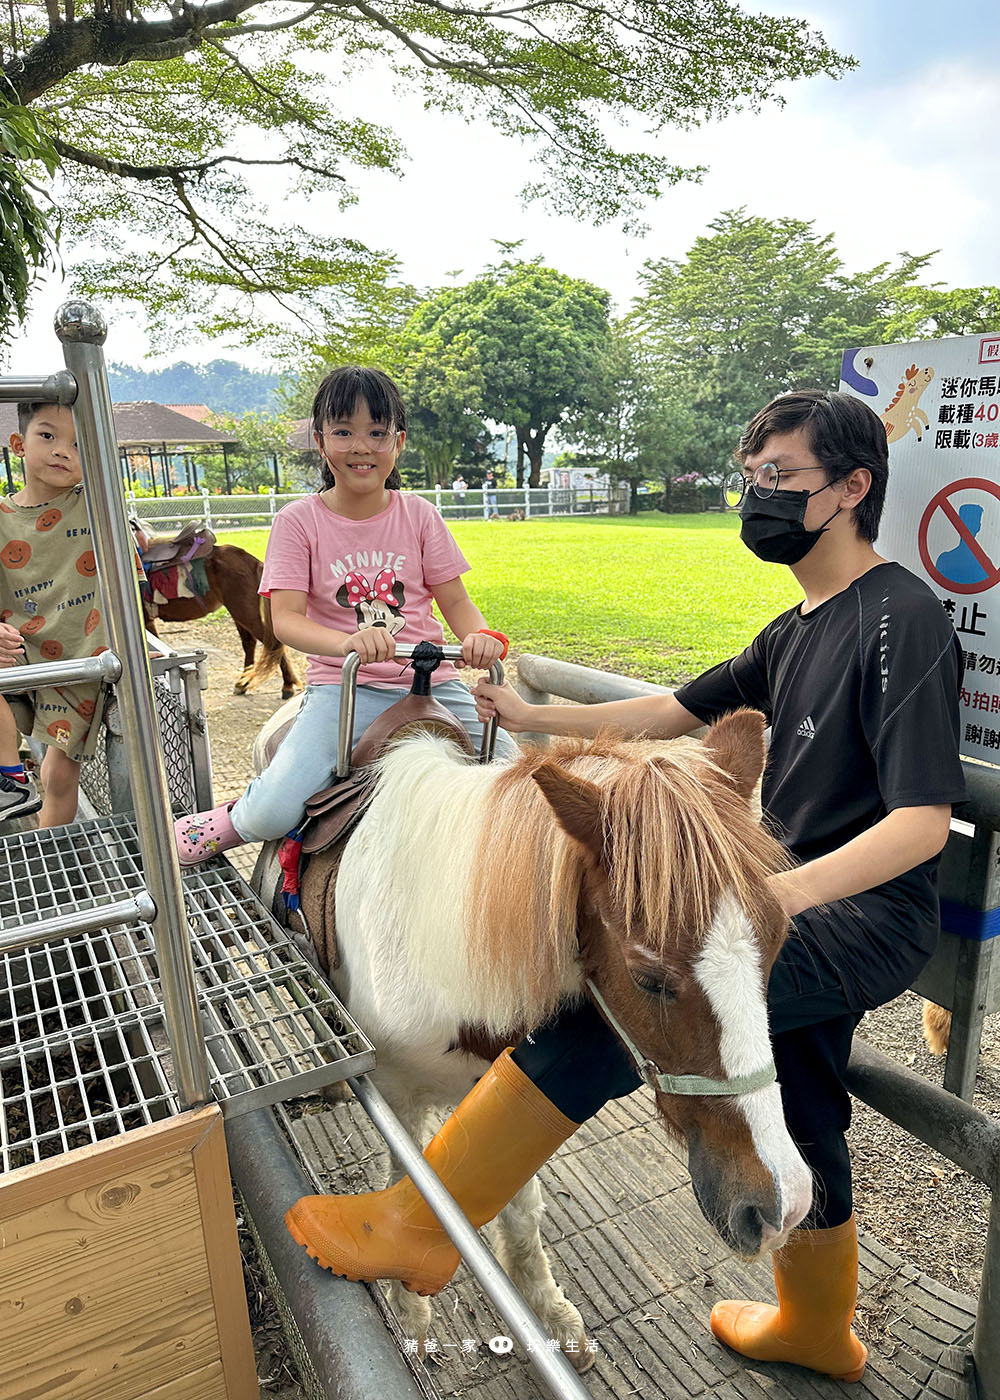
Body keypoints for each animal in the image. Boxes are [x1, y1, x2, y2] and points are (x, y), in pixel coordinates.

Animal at [250, 705, 812, 1360]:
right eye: (648, 978)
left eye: (777, 942)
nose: (782, 1205)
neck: (435, 938)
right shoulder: (397, 1093)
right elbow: (410, 1178)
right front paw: (409, 1308)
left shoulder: (499, 1076)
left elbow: (517, 1198)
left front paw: (545, 1307)